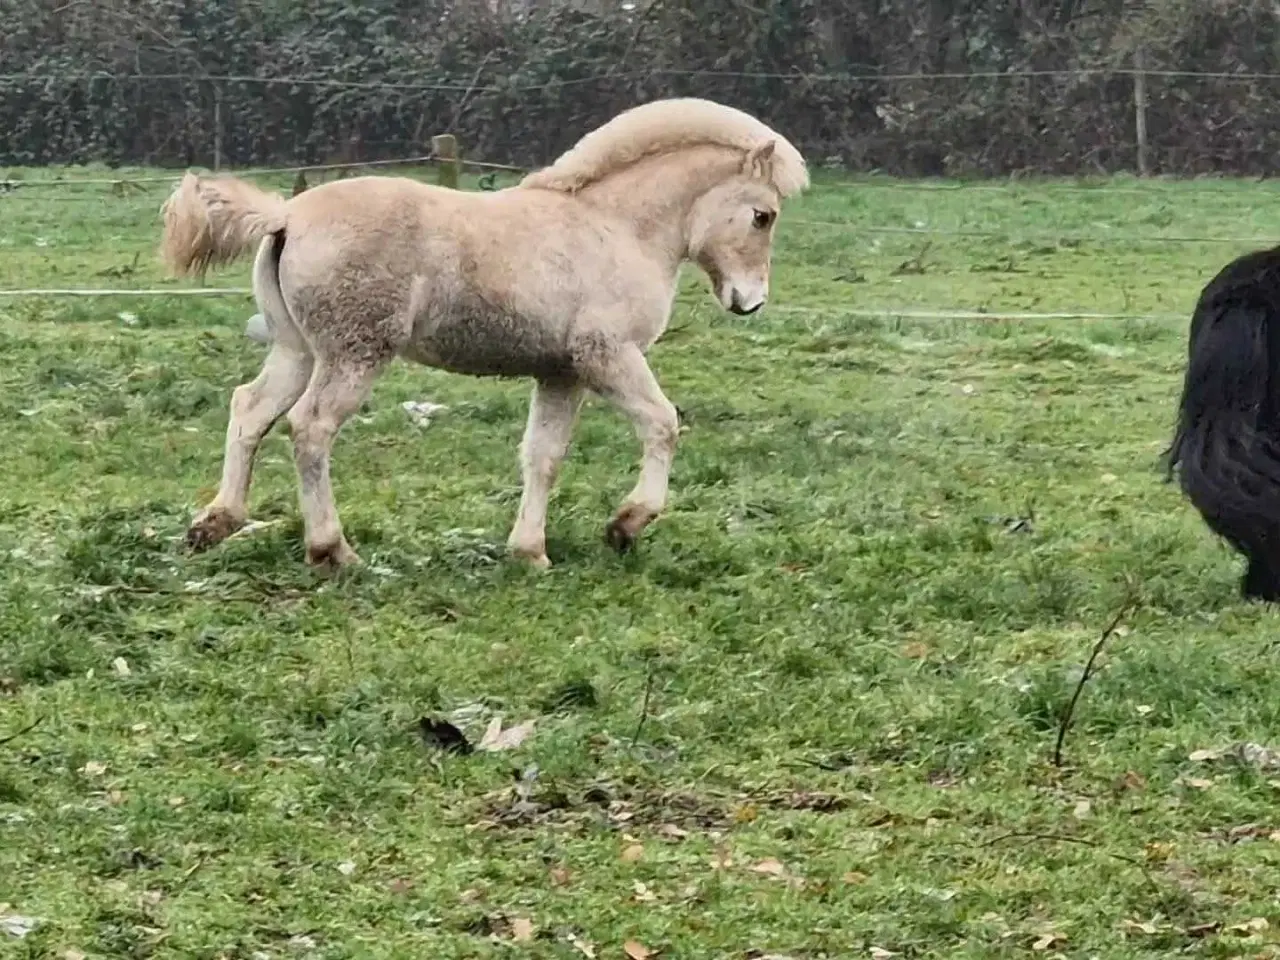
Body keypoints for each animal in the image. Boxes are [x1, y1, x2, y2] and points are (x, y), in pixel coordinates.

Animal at [159, 97, 809, 570]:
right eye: (763, 216)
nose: (750, 301)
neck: (616, 227)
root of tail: (287, 214)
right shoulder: (606, 356)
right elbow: (662, 423)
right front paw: (625, 526)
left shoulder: (561, 372)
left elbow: (543, 456)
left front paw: (530, 554)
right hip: (354, 353)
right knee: (310, 427)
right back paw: (333, 551)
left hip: (297, 350)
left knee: (250, 409)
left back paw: (214, 524)